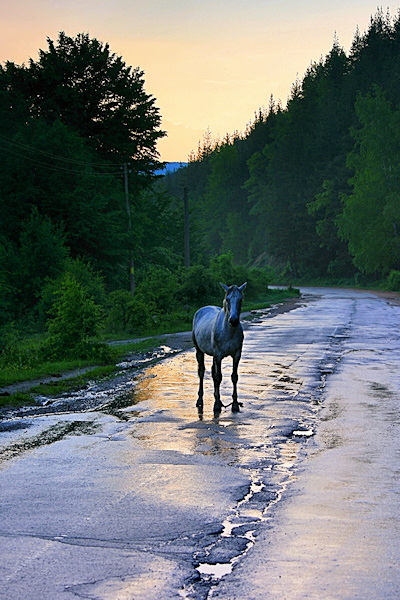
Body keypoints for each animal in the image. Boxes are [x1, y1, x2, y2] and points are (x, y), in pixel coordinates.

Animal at [191, 282, 247, 414]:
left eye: (240, 299)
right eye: (227, 299)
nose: (233, 320)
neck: (228, 331)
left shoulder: (237, 355)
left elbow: (234, 377)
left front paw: (235, 405)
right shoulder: (218, 355)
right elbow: (219, 377)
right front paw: (216, 405)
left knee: (212, 373)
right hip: (199, 352)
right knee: (202, 372)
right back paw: (200, 400)